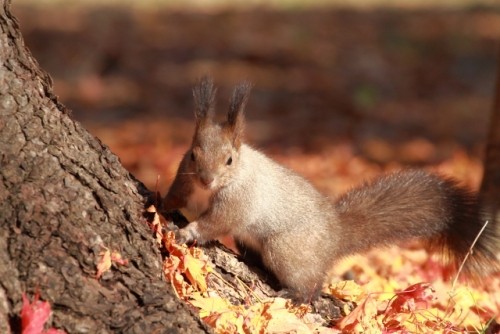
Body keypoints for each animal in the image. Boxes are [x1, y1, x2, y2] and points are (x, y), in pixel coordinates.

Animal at [163, 77, 496, 302]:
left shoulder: (238, 200)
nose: (206, 180)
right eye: (193, 154)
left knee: (312, 284)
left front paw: (187, 232)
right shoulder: (184, 176)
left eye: (229, 160)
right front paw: (162, 203)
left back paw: (293, 294)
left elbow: (217, 222)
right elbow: (177, 195)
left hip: (286, 249)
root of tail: (335, 235)